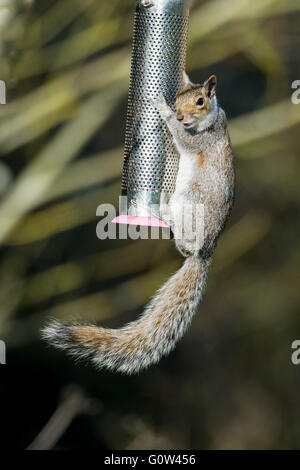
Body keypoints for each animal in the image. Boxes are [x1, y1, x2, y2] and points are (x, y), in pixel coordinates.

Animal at [42, 73, 236, 374]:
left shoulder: (201, 140)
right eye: (178, 96)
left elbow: (183, 138)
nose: (179, 115)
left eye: (200, 101)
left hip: (192, 201)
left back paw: (162, 209)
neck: (212, 118)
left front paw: (162, 109)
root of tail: (203, 253)